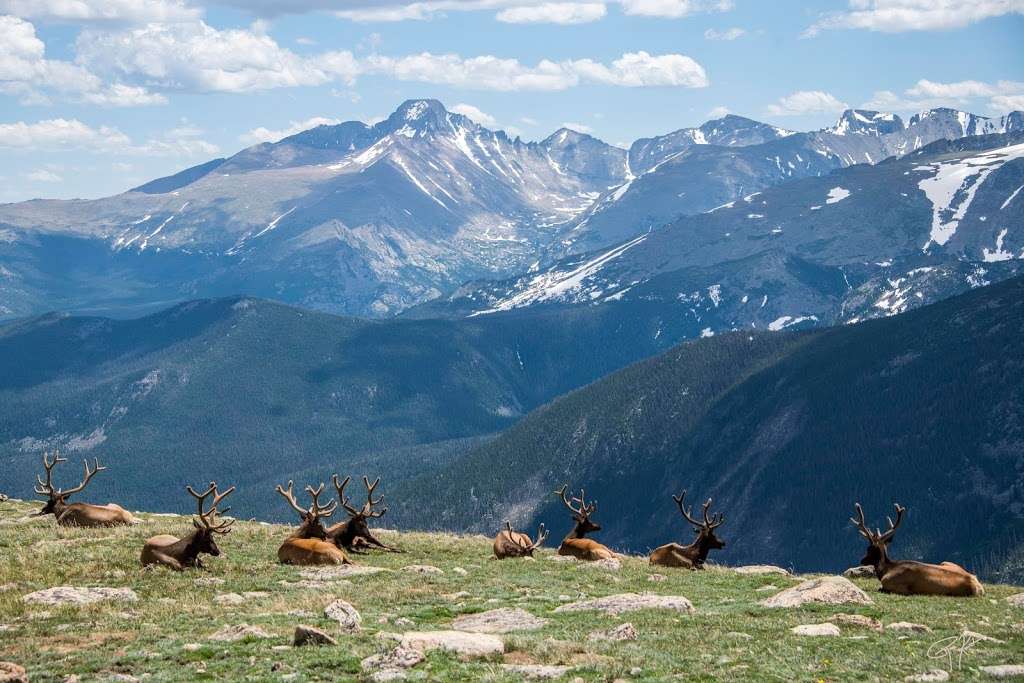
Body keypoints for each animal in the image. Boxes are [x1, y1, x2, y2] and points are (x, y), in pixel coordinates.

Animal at [847, 505, 983, 593]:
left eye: (870, 548)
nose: (862, 560)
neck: (886, 570)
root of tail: (978, 586)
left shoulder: (893, 584)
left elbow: (881, 588)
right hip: (946, 562)